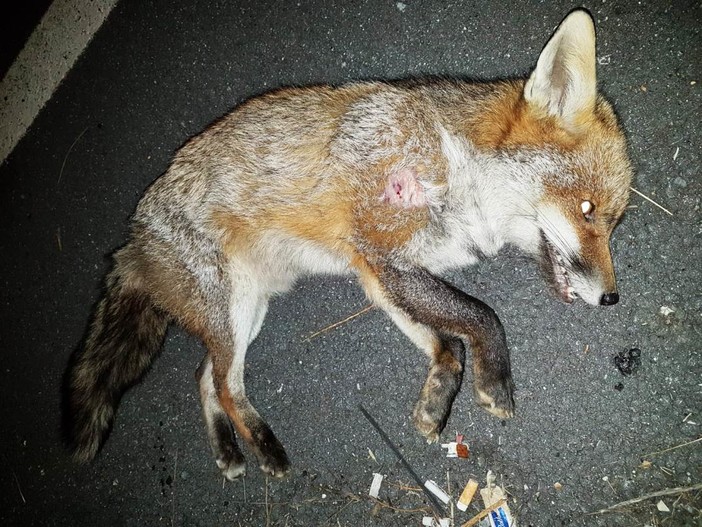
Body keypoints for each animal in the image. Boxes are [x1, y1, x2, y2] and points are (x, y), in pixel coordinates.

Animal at [63, 9, 632, 480]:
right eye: (587, 210)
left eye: (613, 224)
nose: (611, 298)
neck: (453, 162)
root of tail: (131, 239)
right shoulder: (378, 243)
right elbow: (481, 315)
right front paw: (494, 380)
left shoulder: (379, 271)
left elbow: (446, 344)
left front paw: (436, 399)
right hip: (232, 307)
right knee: (223, 383)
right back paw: (265, 448)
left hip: (249, 310)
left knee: (206, 377)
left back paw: (229, 450)